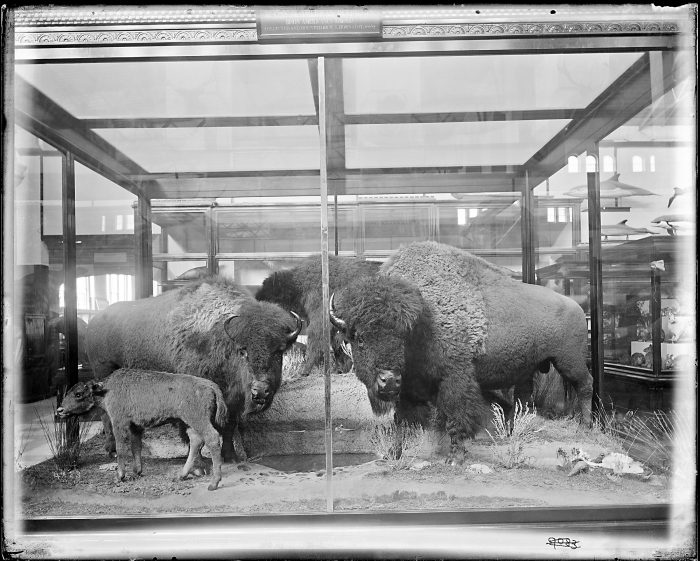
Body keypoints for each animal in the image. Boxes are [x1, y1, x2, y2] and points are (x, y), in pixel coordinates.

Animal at [58, 368, 227, 490]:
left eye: (78, 394)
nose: (60, 410)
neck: (106, 390)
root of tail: (211, 385)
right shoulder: (136, 427)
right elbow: (136, 447)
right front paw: (137, 472)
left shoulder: (120, 423)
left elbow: (121, 449)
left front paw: (119, 476)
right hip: (189, 423)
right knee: (196, 441)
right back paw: (181, 475)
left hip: (198, 421)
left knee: (212, 438)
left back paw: (213, 483)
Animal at [85, 276, 300, 464]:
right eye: (243, 351)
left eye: (279, 352)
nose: (260, 391)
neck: (220, 337)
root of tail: (95, 320)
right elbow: (191, 430)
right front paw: (199, 463)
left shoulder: (232, 401)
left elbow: (228, 427)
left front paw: (230, 457)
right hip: (104, 373)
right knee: (106, 413)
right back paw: (112, 449)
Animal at [330, 241, 592, 464]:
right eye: (360, 338)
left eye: (403, 337)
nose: (389, 380)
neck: (425, 319)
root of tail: (577, 307)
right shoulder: (408, 387)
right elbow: (400, 421)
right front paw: (394, 454)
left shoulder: (455, 378)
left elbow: (456, 416)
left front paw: (455, 458)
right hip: (530, 370)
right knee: (520, 402)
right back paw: (510, 433)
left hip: (570, 362)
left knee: (585, 385)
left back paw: (585, 427)